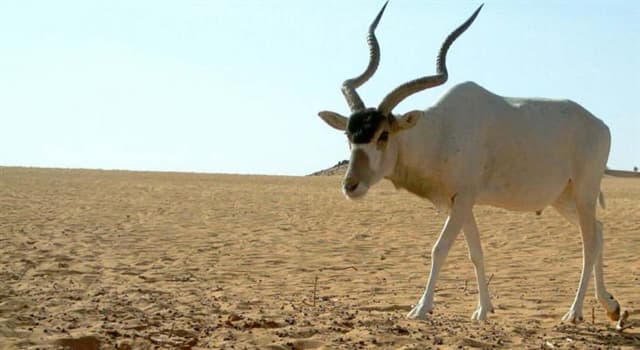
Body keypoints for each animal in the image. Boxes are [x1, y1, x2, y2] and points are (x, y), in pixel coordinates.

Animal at [318, 2, 624, 324]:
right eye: (349, 134)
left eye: (383, 134)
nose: (350, 185)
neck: (440, 131)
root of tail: (600, 125)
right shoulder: (459, 203)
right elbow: (475, 252)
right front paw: (483, 309)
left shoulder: (463, 198)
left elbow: (439, 248)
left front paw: (421, 308)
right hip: (563, 199)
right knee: (599, 231)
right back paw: (612, 308)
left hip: (584, 193)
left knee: (589, 243)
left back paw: (574, 312)